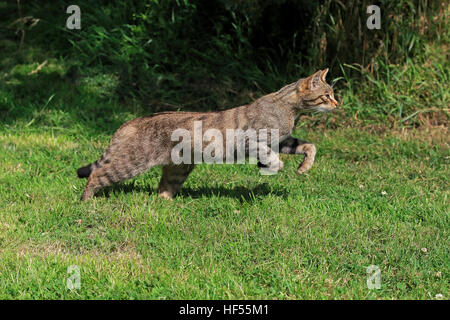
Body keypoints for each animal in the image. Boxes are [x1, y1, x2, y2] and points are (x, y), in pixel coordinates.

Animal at [78, 69, 338, 200]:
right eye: (326, 96)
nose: (338, 104)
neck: (289, 110)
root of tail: (130, 122)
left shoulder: (282, 141)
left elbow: (309, 146)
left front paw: (304, 167)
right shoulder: (253, 141)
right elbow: (272, 158)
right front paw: (273, 166)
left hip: (178, 169)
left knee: (163, 188)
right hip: (130, 164)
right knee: (96, 176)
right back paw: (87, 203)